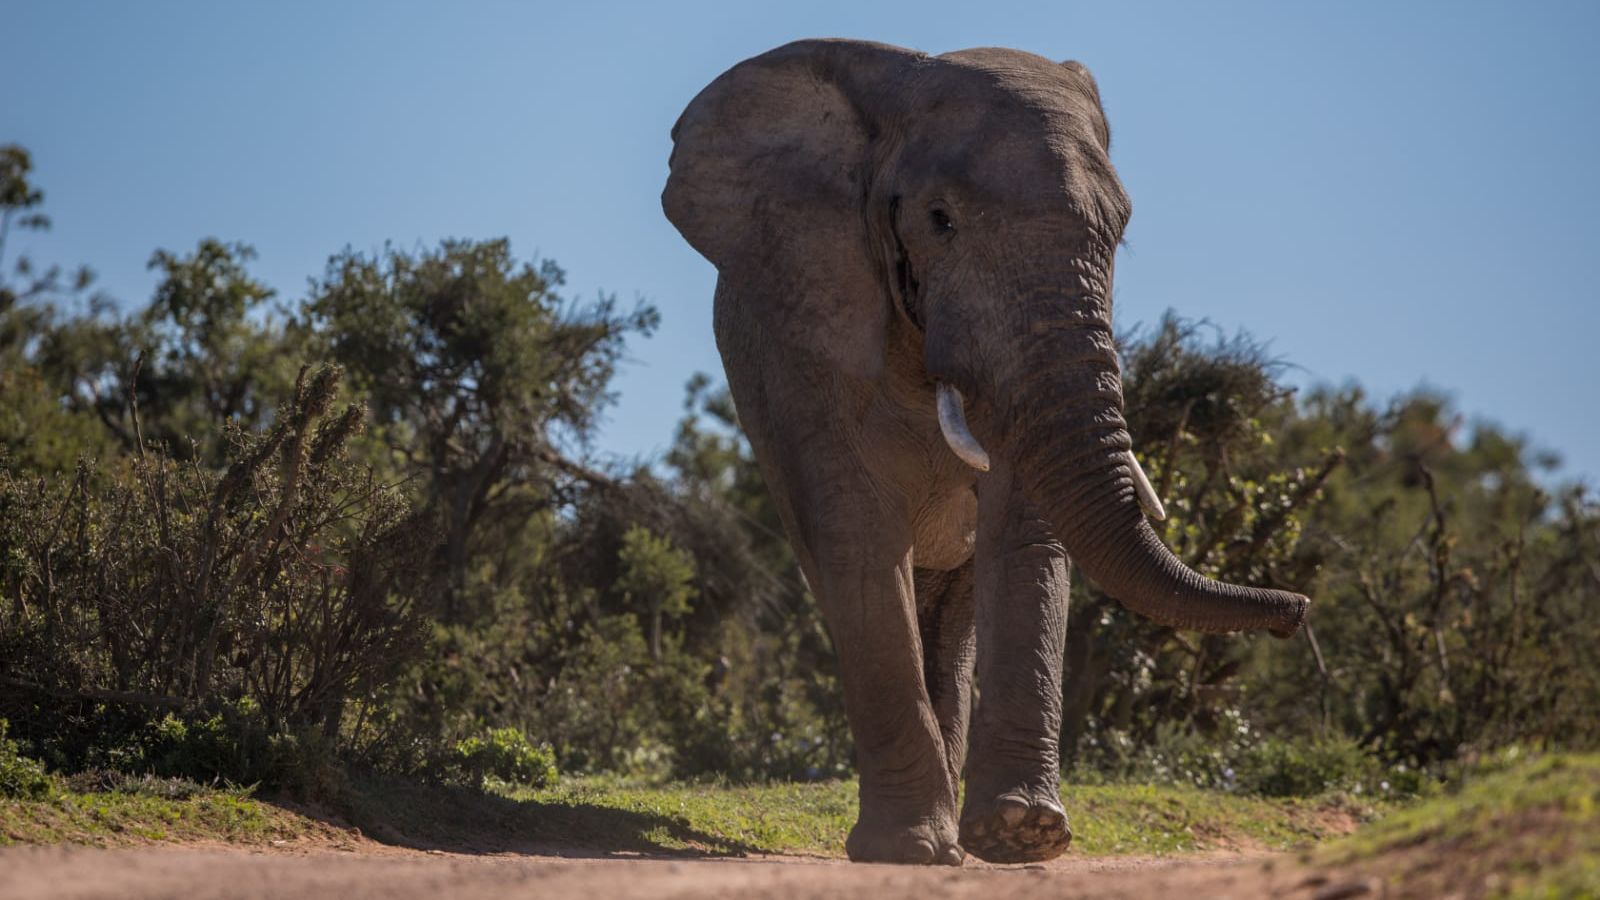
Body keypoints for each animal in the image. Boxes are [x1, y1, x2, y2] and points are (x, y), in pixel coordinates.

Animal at [661, 39, 1309, 866]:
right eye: (939, 220)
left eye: (1119, 232)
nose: (1297, 612)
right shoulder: (803, 331)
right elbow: (856, 533)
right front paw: (906, 848)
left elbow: (1025, 528)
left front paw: (1022, 834)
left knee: (953, 608)